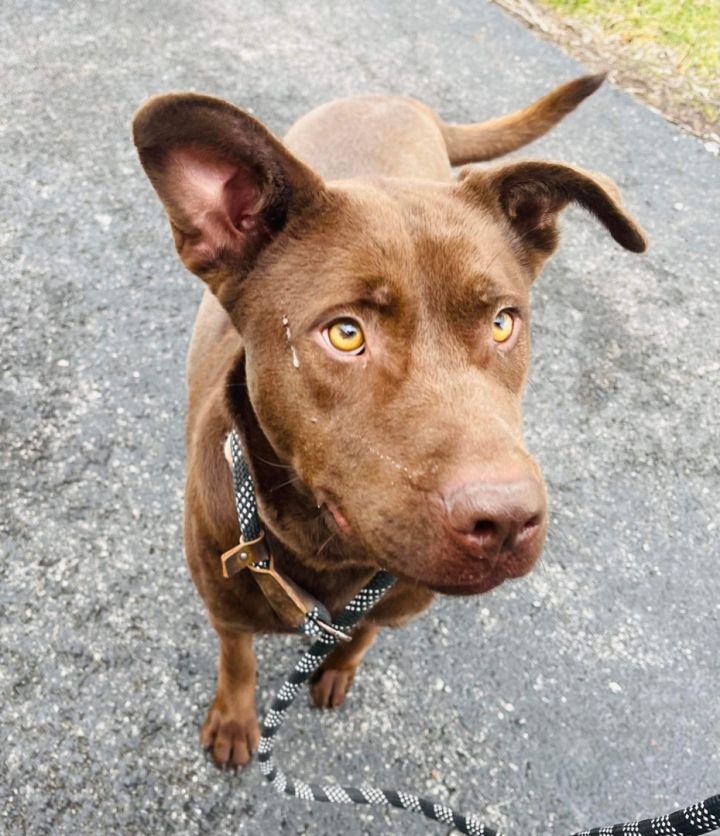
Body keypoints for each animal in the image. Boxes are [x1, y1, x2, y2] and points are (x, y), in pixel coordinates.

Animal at [134, 75, 648, 768]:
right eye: (346, 334)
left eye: (502, 322)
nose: (506, 522)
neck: (321, 550)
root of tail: (399, 100)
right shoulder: (226, 605)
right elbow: (238, 660)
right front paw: (237, 721)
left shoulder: (390, 604)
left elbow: (363, 634)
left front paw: (338, 669)